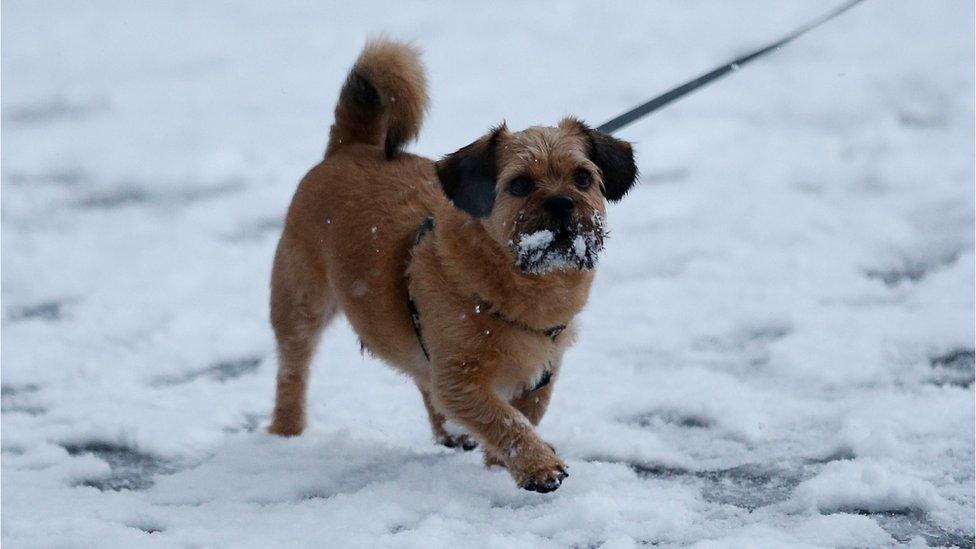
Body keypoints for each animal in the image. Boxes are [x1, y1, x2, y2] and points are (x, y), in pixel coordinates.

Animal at [266, 38, 636, 492]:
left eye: (583, 177)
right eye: (520, 184)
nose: (563, 203)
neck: (522, 286)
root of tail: (349, 146)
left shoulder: (541, 373)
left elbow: (525, 415)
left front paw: (500, 464)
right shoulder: (461, 380)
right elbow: (505, 420)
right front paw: (537, 466)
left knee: (421, 379)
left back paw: (452, 433)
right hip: (300, 303)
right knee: (292, 370)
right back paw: (287, 432)